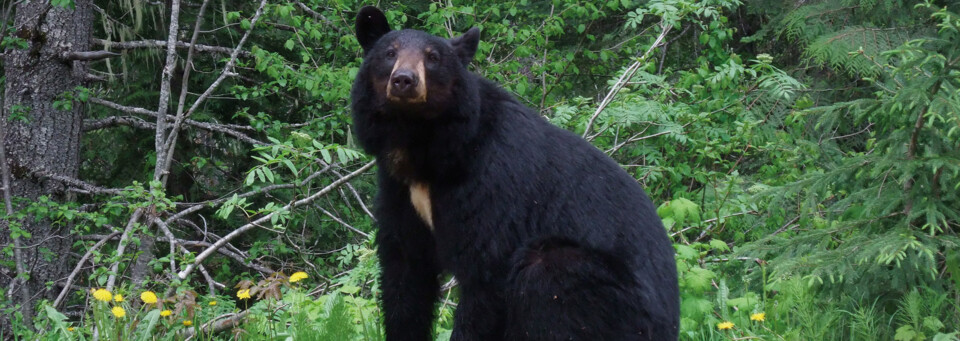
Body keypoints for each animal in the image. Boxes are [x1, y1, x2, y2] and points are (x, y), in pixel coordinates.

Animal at [348, 5, 680, 340]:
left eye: (433, 57)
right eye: (390, 53)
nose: (404, 80)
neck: (423, 145)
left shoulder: (491, 186)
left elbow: (485, 272)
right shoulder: (399, 191)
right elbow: (405, 274)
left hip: (606, 297)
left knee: (546, 277)